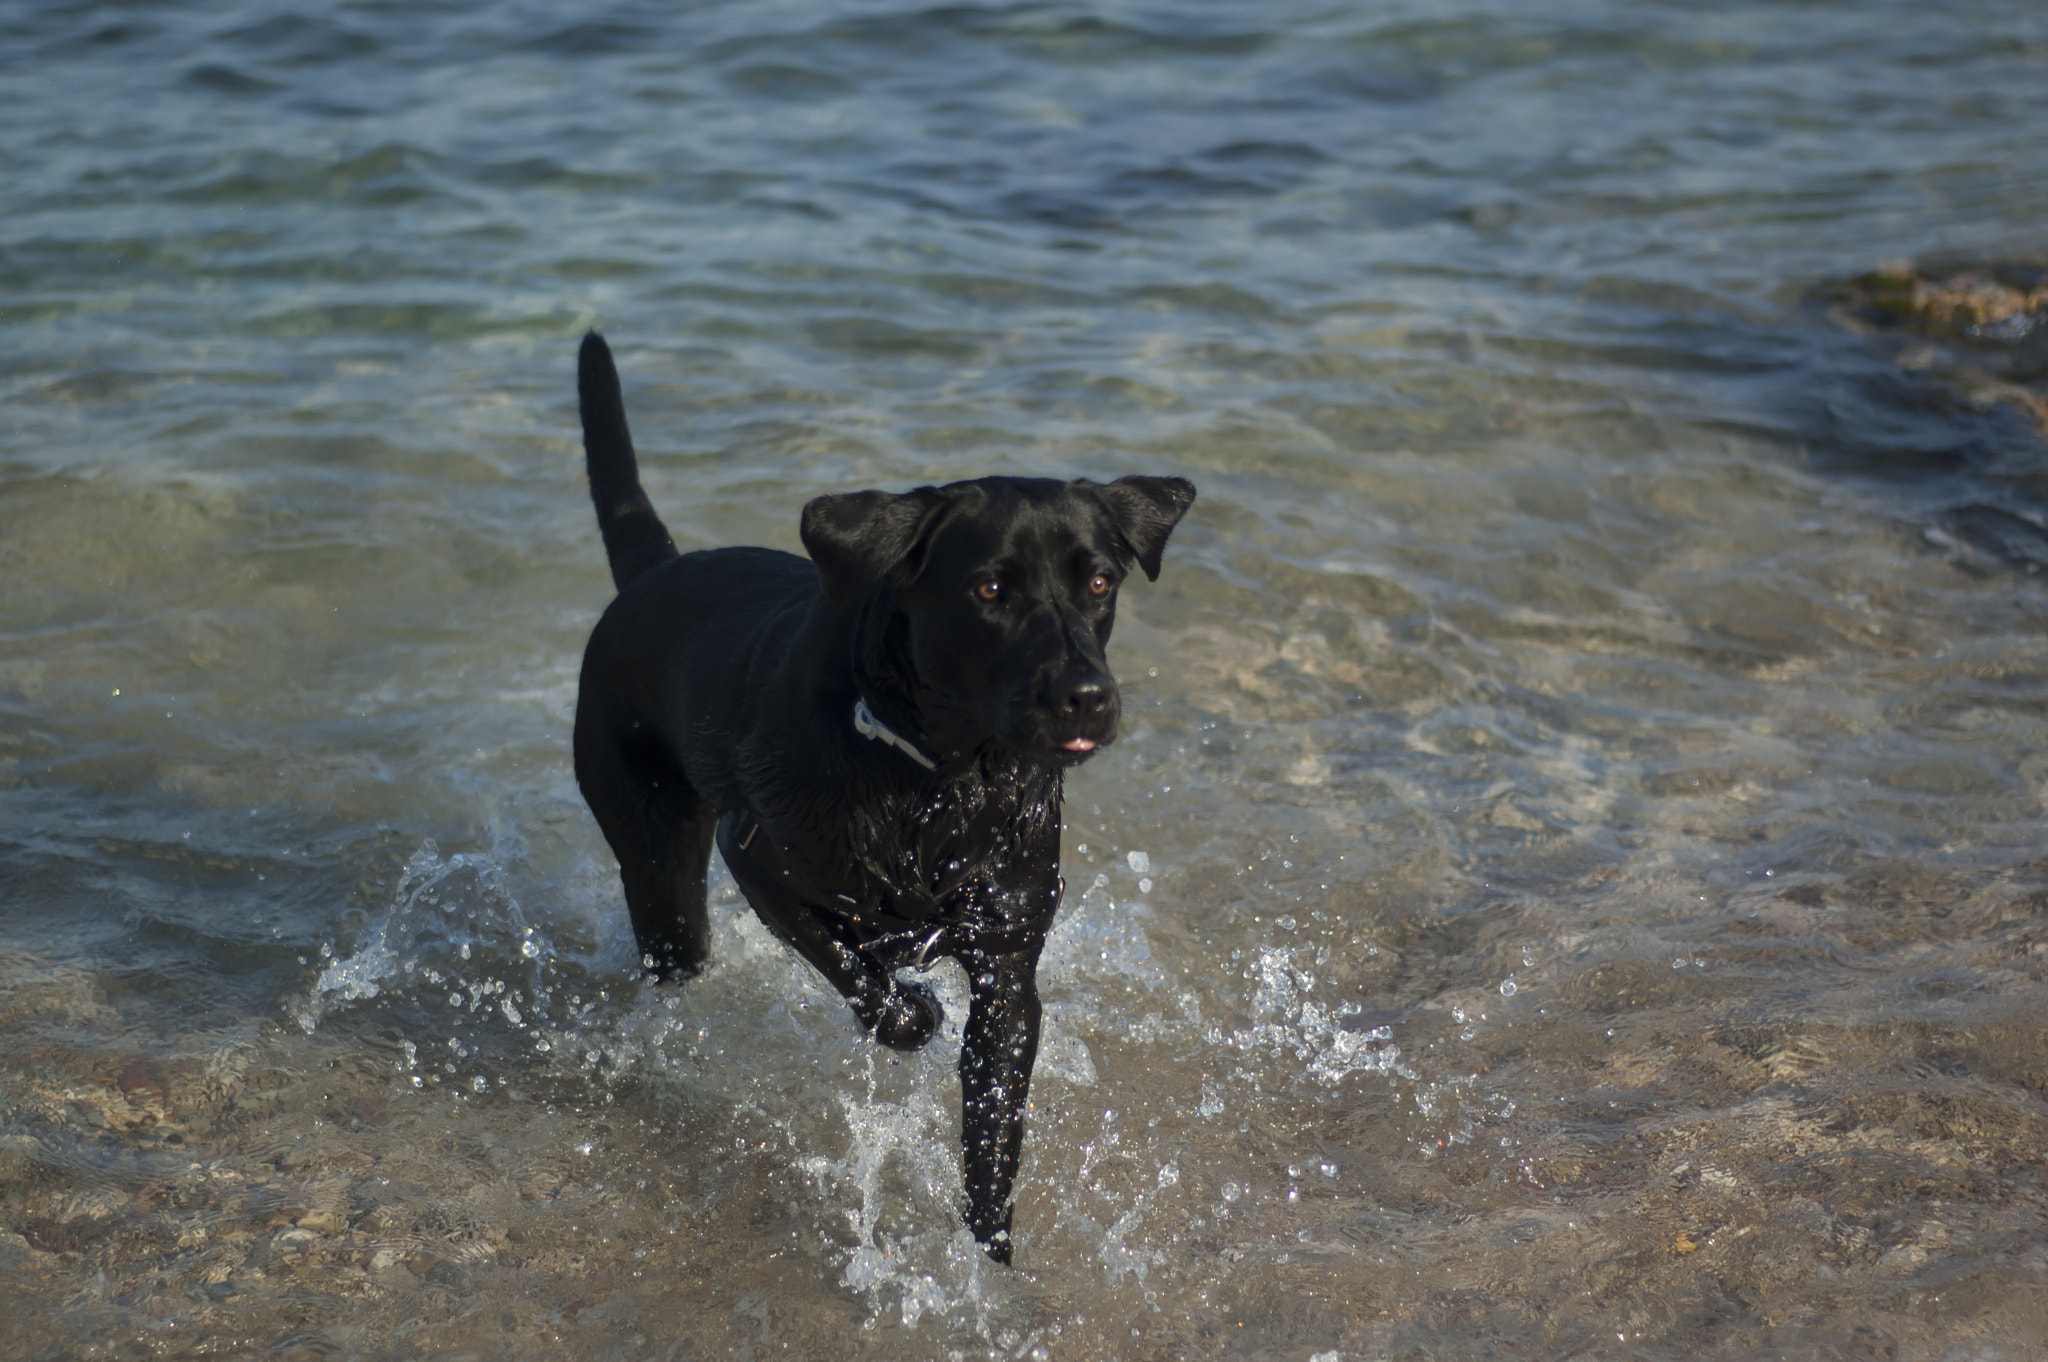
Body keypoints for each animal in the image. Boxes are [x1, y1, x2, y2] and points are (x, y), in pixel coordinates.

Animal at [569, 331, 1196, 1261]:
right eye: (989, 589)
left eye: (1099, 582)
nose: (1087, 695)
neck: (947, 785)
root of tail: (656, 575)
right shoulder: (758, 858)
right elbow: (863, 979)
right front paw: (913, 1010)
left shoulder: (1009, 965)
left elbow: (993, 1126)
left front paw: (989, 1258)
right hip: (659, 861)